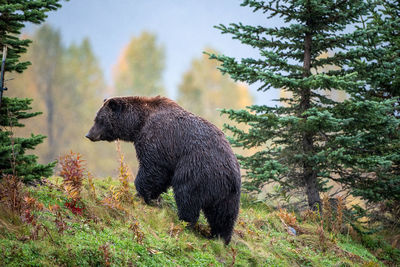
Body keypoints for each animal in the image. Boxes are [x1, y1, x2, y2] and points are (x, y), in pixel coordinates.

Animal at [86, 96, 241, 245]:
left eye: (99, 119)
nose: (89, 134)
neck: (139, 123)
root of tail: (227, 174)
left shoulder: (158, 139)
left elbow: (152, 168)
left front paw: (142, 194)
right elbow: (162, 177)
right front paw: (153, 196)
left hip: (197, 171)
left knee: (187, 196)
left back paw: (184, 221)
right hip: (228, 193)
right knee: (224, 215)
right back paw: (220, 237)